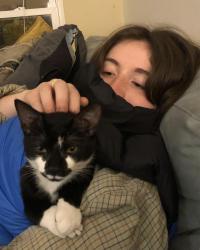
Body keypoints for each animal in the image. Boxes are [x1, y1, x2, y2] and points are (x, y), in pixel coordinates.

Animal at [14, 99, 101, 238]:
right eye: (41, 148)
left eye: (72, 149)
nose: (54, 169)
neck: (52, 184)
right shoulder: (25, 175)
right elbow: (34, 210)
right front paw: (66, 227)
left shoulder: (89, 165)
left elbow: (76, 183)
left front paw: (68, 218)